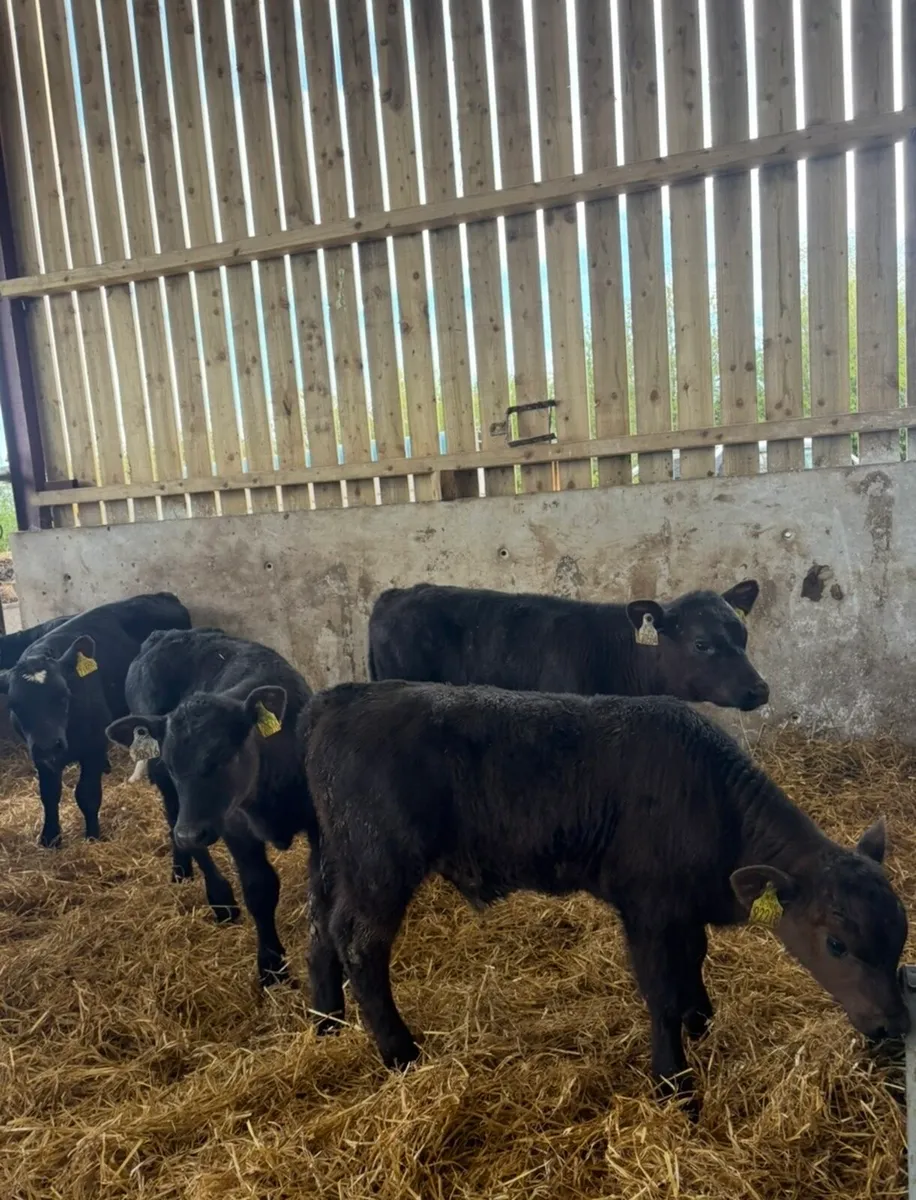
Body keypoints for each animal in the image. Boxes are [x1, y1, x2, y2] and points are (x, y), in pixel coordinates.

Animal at [0, 593, 191, 847]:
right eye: (15, 706)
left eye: (63, 695)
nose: (49, 745)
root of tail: (163, 595)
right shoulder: (39, 754)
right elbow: (49, 794)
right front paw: (50, 837)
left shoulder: (93, 745)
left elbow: (87, 793)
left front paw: (93, 835)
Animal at [107, 628, 315, 985]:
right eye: (173, 763)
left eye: (223, 756)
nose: (191, 833)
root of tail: (165, 635)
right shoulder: (234, 826)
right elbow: (260, 889)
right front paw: (271, 967)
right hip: (169, 790)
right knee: (174, 819)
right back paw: (218, 896)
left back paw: (183, 866)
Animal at [304, 681, 908, 1106]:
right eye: (836, 944)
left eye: (899, 938)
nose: (893, 1026)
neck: (713, 800)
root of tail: (341, 698)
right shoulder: (648, 909)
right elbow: (661, 992)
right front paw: (674, 1084)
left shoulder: (682, 911)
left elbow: (693, 960)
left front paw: (702, 1021)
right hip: (380, 866)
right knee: (359, 944)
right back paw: (400, 1052)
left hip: (337, 862)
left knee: (321, 932)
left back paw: (327, 1021)